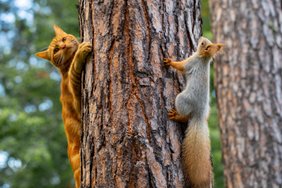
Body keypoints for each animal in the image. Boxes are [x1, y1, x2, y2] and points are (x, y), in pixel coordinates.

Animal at [34, 25, 91, 188]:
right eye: (56, 50)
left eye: (64, 39)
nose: (64, 46)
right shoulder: (79, 104)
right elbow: (74, 72)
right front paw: (80, 53)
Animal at [164, 37, 224, 188]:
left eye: (203, 44)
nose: (200, 38)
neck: (203, 58)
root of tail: (200, 114)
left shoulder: (190, 62)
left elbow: (180, 66)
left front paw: (169, 62)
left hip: (182, 99)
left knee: (185, 116)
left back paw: (176, 116)